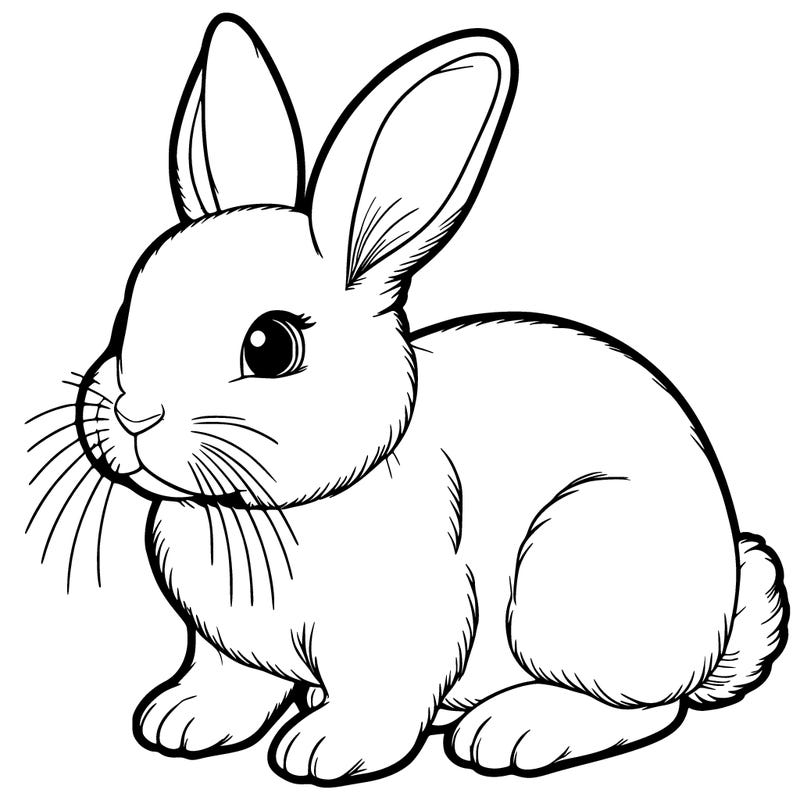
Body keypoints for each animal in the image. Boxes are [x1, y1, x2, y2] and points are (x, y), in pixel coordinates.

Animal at [59, 13, 787, 786]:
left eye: (271, 347)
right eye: (127, 310)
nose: (133, 414)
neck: (267, 512)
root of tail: (720, 616)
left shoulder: (408, 624)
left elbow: (382, 697)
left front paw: (325, 749)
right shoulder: (226, 647)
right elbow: (232, 680)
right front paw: (180, 721)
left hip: (576, 576)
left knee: (648, 707)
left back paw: (512, 731)